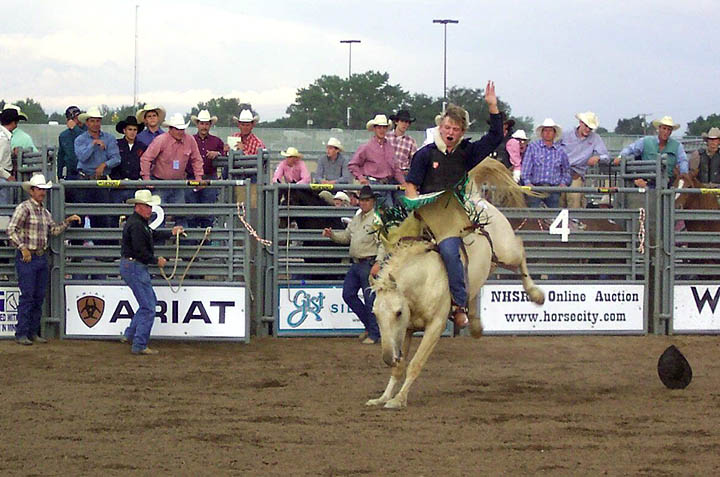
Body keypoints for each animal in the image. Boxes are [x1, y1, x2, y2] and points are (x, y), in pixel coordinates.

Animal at [368, 160, 544, 410]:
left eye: (398, 312)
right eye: (375, 313)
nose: (386, 357)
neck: (424, 279)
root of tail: (475, 197)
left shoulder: (435, 326)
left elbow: (415, 363)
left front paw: (399, 400)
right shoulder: (407, 330)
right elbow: (400, 366)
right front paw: (383, 397)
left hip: (506, 252)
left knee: (520, 250)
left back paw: (536, 294)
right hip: (488, 265)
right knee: (475, 287)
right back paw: (475, 325)